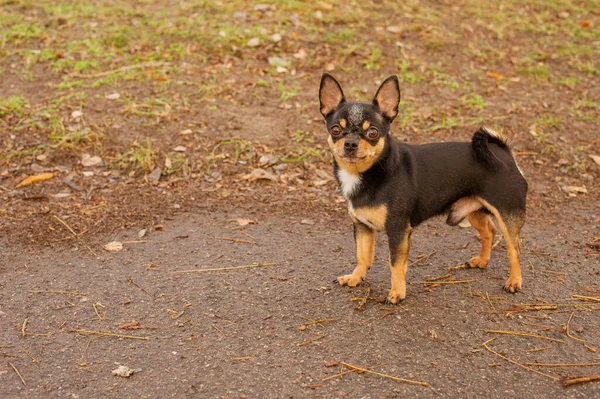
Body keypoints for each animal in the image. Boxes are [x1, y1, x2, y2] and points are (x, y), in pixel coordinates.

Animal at [322, 72, 528, 304]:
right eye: (335, 130)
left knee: (514, 248)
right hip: (473, 210)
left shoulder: (398, 230)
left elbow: (395, 264)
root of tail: (505, 153)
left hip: (507, 215)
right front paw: (355, 278)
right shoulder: (362, 227)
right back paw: (481, 261)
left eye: (373, 133)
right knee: (489, 231)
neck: (370, 172)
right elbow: (362, 256)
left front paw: (397, 293)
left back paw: (514, 281)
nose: (350, 143)